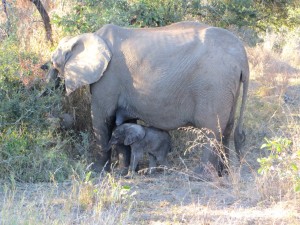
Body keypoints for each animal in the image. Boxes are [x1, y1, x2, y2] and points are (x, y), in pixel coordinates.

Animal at [49, 22, 250, 178]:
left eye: (54, 62)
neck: (87, 37)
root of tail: (242, 56)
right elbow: (124, 123)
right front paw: (123, 171)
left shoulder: (108, 79)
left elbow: (102, 119)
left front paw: (98, 171)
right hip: (227, 87)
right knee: (227, 128)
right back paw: (224, 174)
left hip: (214, 85)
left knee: (211, 130)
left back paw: (200, 176)